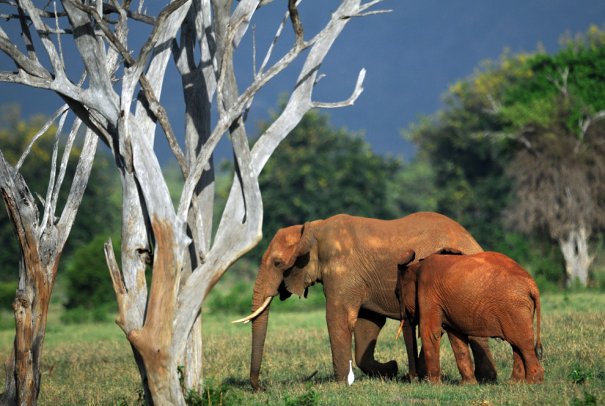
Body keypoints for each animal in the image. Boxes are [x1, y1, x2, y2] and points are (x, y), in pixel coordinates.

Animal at [231, 211, 496, 388]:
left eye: (277, 263)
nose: (260, 387)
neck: (312, 230)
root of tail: (472, 239)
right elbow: (367, 324)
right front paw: (390, 370)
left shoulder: (343, 270)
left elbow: (338, 318)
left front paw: (339, 385)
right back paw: (482, 379)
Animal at [396, 249, 544, 386]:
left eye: (398, 294)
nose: (414, 380)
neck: (416, 267)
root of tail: (532, 284)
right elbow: (456, 337)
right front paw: (468, 385)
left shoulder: (428, 292)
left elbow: (430, 333)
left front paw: (433, 385)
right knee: (516, 344)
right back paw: (514, 383)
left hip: (514, 308)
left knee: (523, 343)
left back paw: (533, 382)